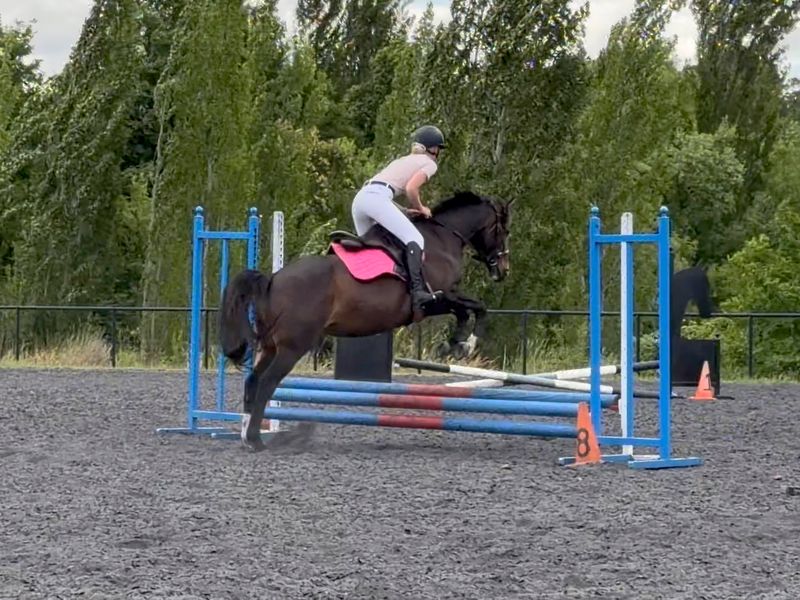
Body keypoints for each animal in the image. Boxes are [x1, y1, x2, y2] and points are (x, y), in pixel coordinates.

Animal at [218, 190, 514, 450]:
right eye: (503, 230)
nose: (502, 270)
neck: (441, 237)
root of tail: (273, 279)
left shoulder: (441, 300)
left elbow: (467, 310)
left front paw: (456, 344)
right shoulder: (435, 299)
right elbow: (475, 308)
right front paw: (464, 344)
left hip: (270, 346)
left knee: (253, 380)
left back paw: (246, 437)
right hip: (292, 347)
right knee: (267, 383)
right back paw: (256, 440)